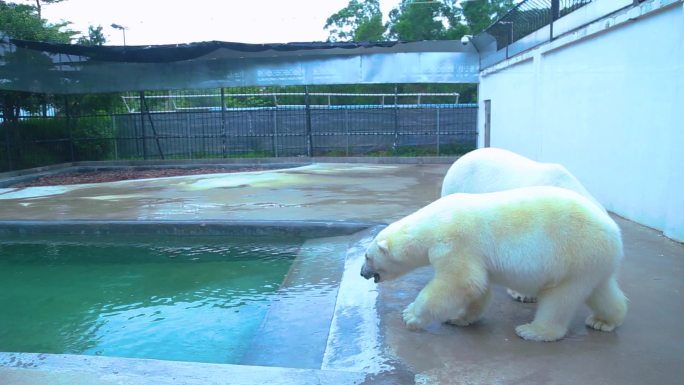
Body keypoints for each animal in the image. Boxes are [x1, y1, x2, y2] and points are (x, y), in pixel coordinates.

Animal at [360, 185, 628, 340]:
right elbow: (479, 287)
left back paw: (533, 331)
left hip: (574, 254)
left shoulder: (454, 242)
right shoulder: (475, 255)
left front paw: (410, 316)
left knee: (560, 299)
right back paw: (604, 321)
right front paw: (459, 318)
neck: (432, 222)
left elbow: (460, 282)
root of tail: (615, 233)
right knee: (600, 290)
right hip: (591, 263)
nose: (362, 273)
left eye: (367, 256)